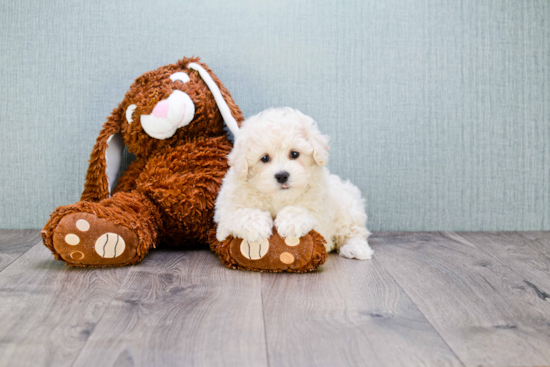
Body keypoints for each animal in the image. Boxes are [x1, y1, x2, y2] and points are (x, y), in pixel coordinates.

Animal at [216, 108, 376, 260]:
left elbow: (303, 213)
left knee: (354, 231)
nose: (282, 175)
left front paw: (290, 222)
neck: (278, 198)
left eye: (294, 154)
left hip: (348, 207)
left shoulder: (320, 213)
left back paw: (355, 248)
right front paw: (256, 224)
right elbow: (236, 214)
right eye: (265, 158)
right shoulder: (225, 214)